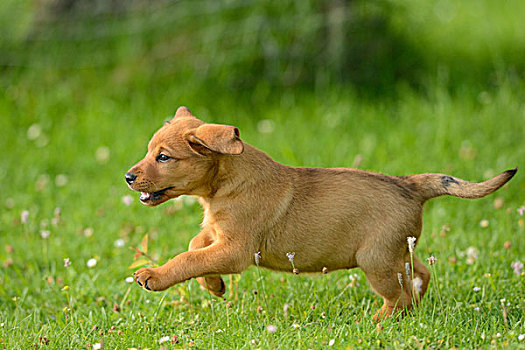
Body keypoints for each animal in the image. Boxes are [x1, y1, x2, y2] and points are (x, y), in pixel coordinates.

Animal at [125, 106, 512, 320]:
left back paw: (378, 323)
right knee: (419, 276)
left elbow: (188, 259)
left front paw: (154, 275)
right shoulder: (218, 234)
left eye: (163, 157)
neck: (223, 183)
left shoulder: (236, 250)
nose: (128, 177)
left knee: (399, 295)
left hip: (375, 260)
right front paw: (215, 285)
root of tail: (410, 185)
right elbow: (195, 247)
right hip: (396, 251)